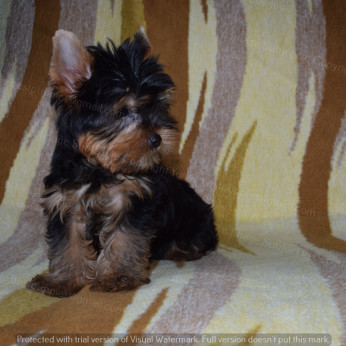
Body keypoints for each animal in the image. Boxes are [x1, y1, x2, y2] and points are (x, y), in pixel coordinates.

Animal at [26, 29, 216, 298]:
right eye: (125, 111)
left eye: (159, 106)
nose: (158, 138)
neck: (101, 169)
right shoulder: (66, 200)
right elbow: (68, 242)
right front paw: (62, 281)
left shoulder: (132, 200)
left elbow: (124, 239)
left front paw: (118, 277)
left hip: (196, 220)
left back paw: (181, 249)